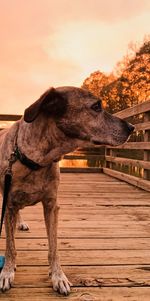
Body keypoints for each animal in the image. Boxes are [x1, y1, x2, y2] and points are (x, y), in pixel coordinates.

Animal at [0, 86, 134, 292]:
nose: (132, 127)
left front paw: (58, 276)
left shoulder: (51, 205)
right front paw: (7, 271)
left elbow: (54, 247)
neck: (37, 160)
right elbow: (10, 246)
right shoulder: (9, 202)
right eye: (96, 106)